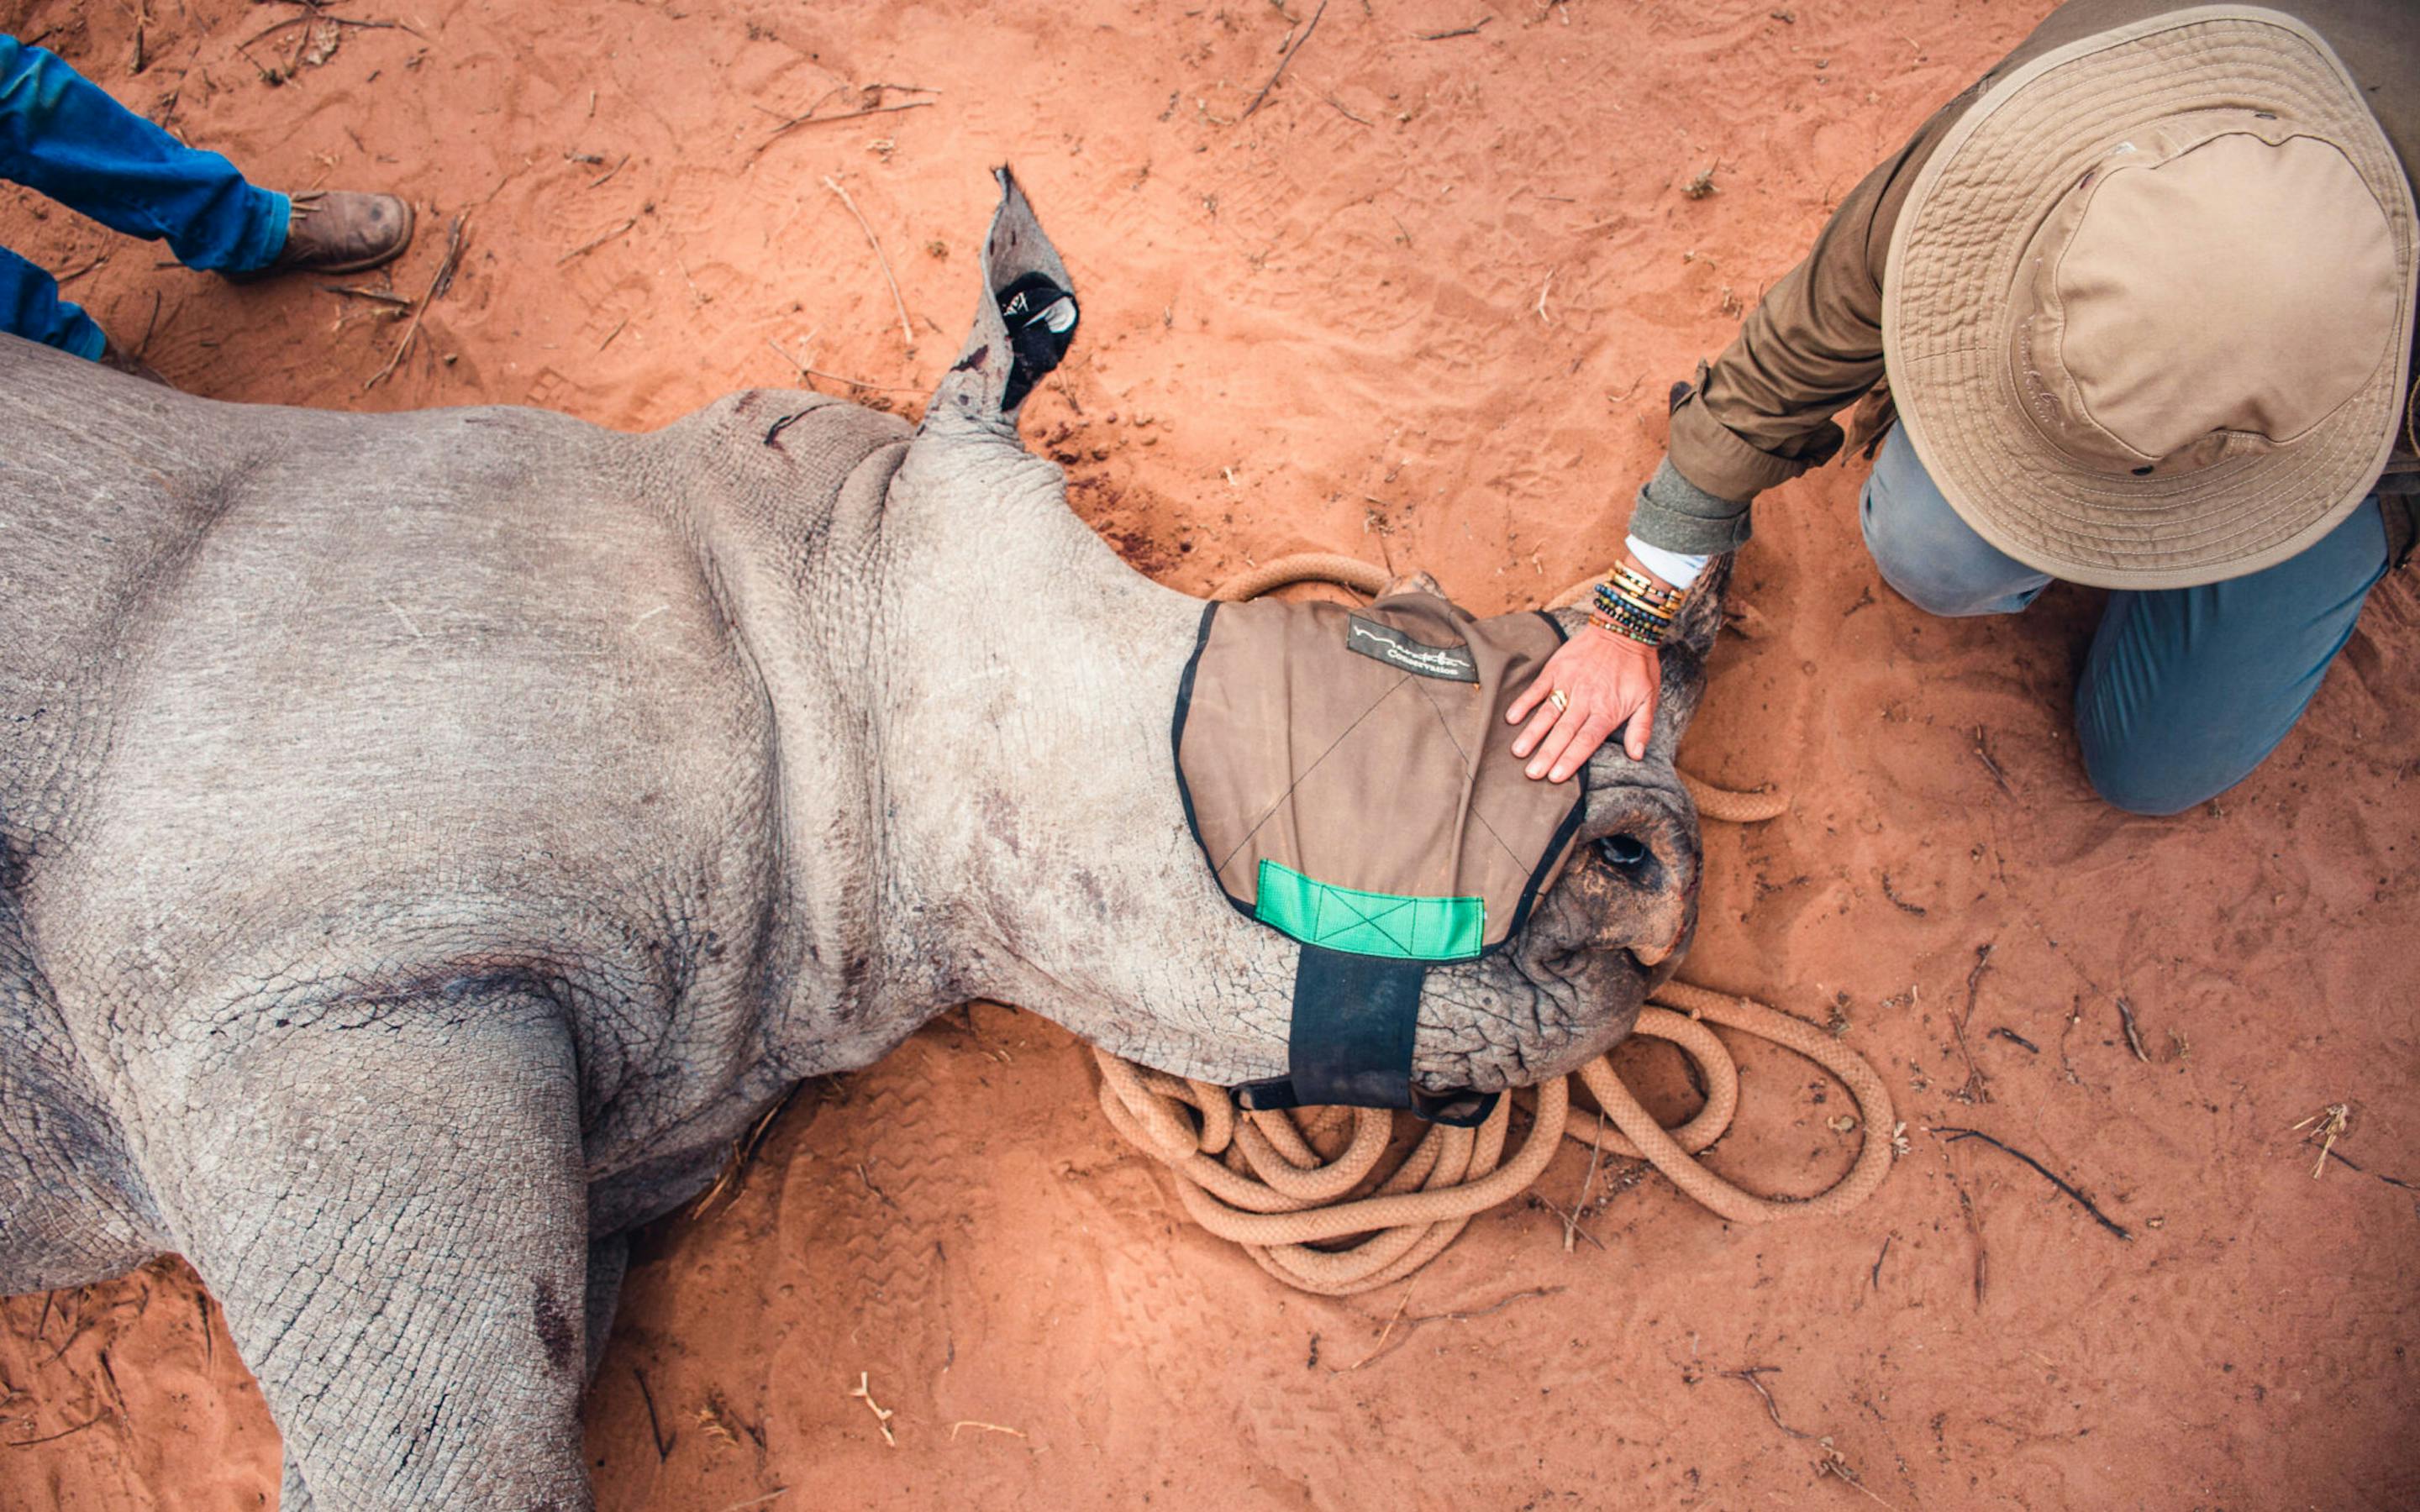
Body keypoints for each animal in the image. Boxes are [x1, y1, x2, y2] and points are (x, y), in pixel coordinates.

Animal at [0, 172, 1718, 1509]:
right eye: (1388, 656)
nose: (1659, 862)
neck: (828, 610)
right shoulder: (310, 978)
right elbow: (466, 1449)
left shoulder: (622, 1112)